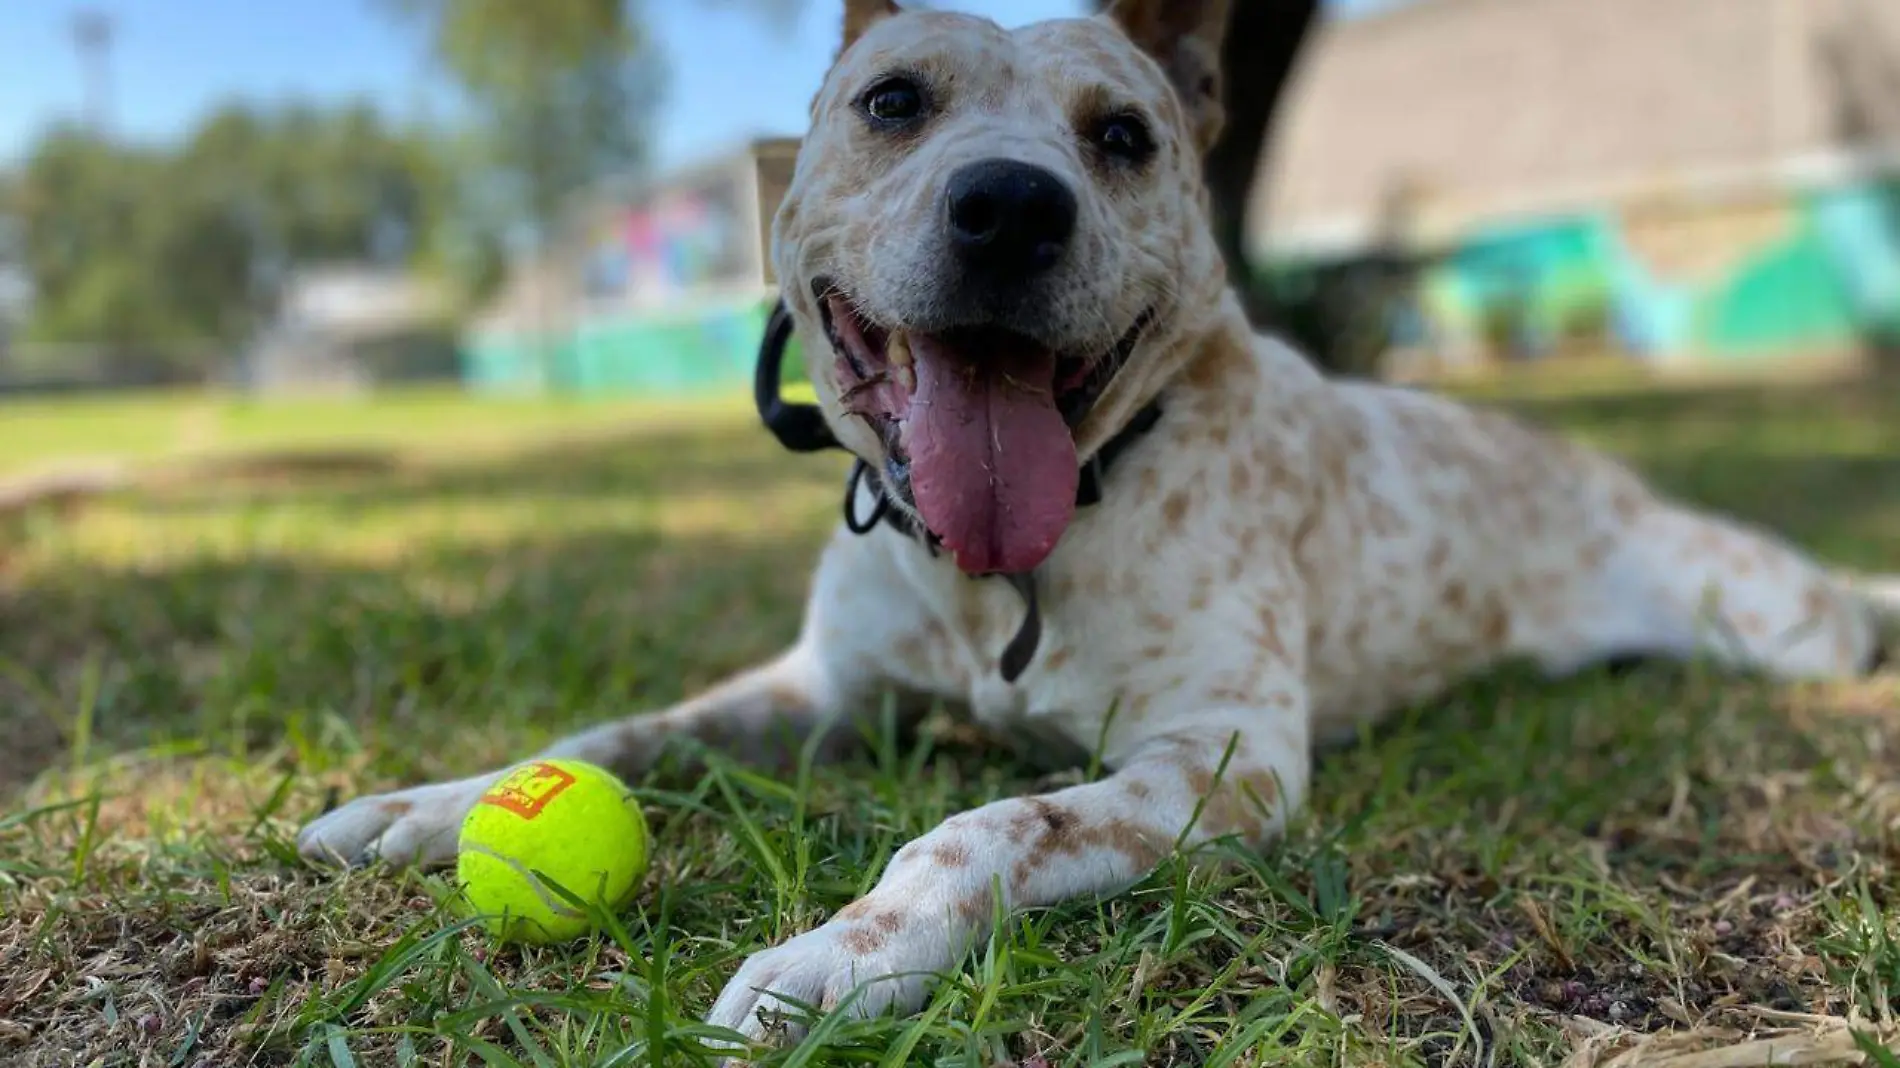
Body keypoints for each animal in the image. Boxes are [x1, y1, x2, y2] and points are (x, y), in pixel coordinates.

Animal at [296, 0, 1900, 1048]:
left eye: (1122, 135)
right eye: (893, 101)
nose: (1011, 206)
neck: (1007, 570)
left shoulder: (1223, 758)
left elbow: (986, 824)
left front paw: (836, 960)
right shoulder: (816, 689)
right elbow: (618, 735)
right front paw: (435, 802)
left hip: (1775, 624)